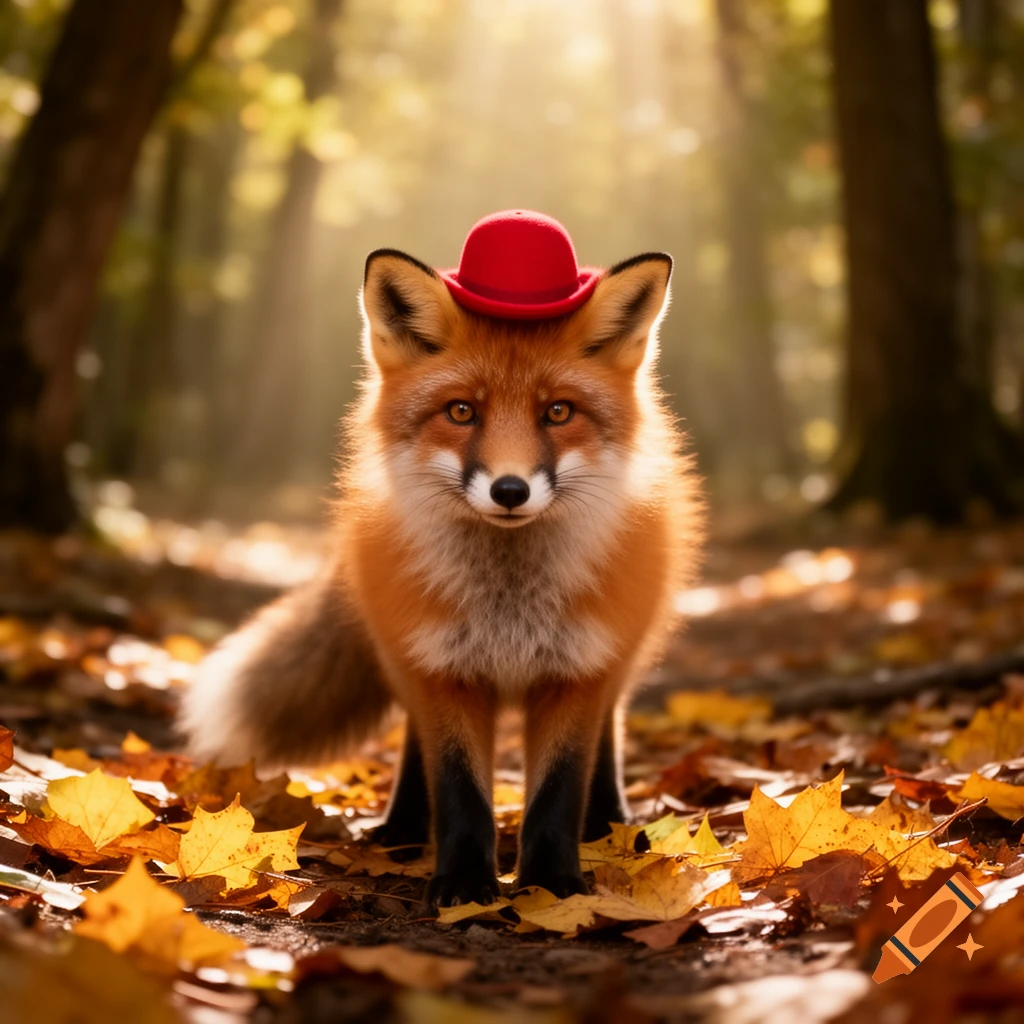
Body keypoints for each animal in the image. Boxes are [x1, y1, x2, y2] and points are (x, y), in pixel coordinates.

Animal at [180, 217, 703, 908]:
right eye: (461, 411)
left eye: (557, 411)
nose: (510, 490)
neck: (508, 608)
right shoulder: (442, 668)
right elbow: (458, 790)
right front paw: (463, 884)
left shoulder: (576, 672)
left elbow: (558, 792)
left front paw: (551, 886)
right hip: (404, 652)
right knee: (412, 749)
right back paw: (402, 832)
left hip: (618, 654)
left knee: (609, 740)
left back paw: (610, 828)